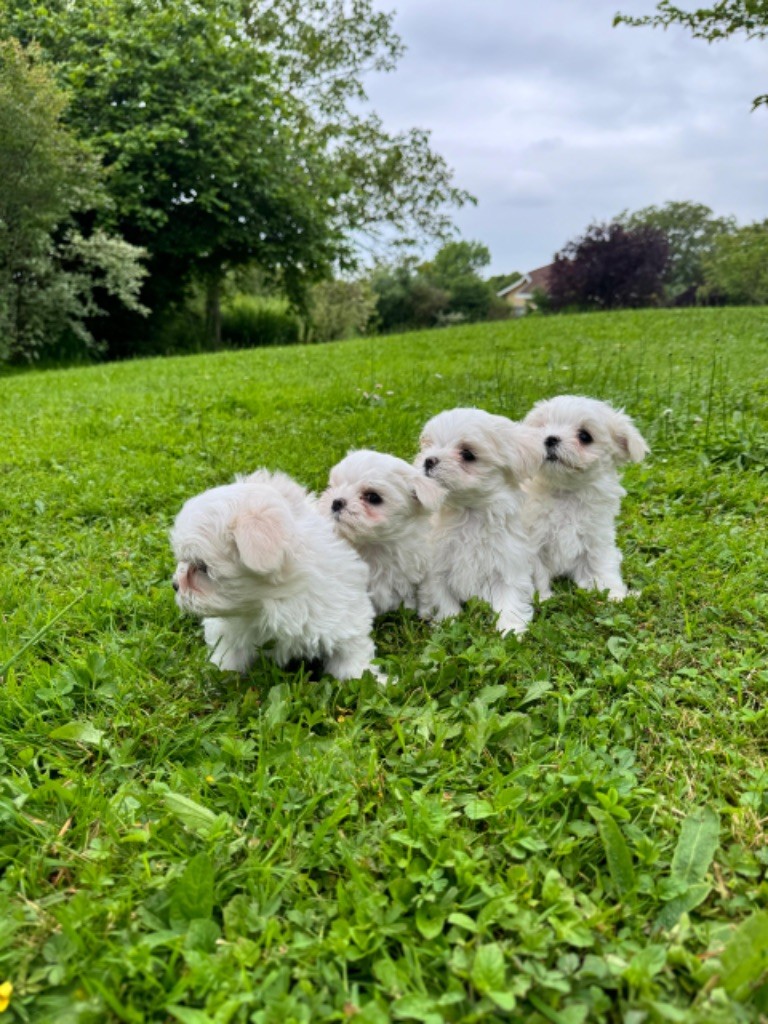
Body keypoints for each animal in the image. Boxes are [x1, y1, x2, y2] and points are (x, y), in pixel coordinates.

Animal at [171, 468, 382, 679]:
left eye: (202, 567)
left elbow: (350, 650)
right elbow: (228, 653)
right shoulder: (230, 630)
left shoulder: (342, 615)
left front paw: (365, 676)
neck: (271, 601)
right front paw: (219, 671)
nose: (175, 585)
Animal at [415, 405, 540, 630]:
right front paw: (449, 621)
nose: (428, 460)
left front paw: (510, 629)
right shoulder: (435, 569)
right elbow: (442, 597)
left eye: (467, 454)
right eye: (429, 447)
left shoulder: (508, 564)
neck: (468, 513)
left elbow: (510, 598)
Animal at [524, 391, 651, 598]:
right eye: (541, 428)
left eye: (585, 436)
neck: (565, 492)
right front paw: (543, 598)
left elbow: (600, 567)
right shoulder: (531, 542)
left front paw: (615, 595)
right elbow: (537, 573)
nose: (550, 438)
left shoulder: (596, 538)